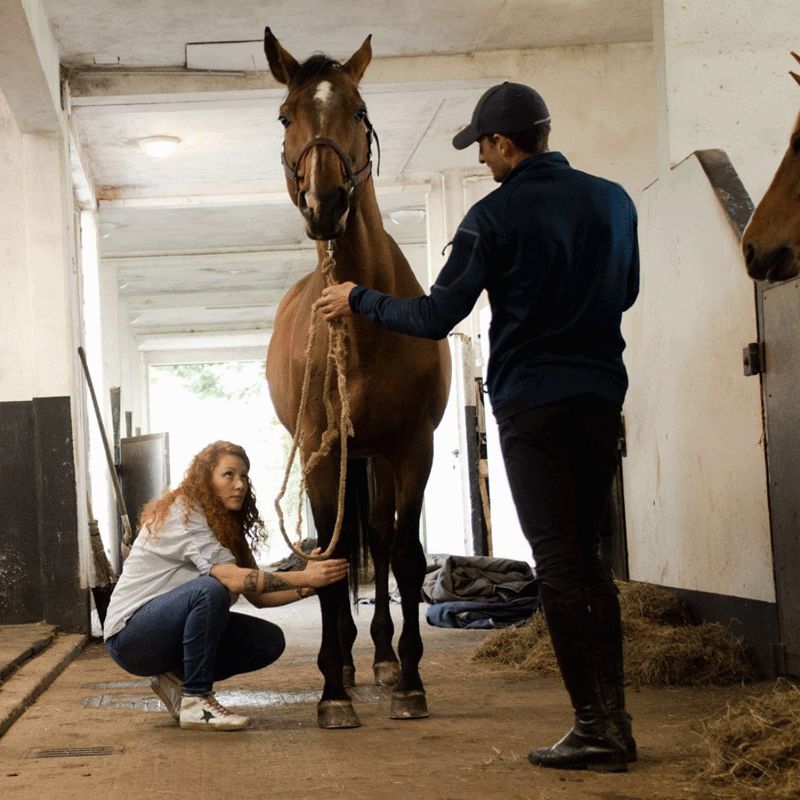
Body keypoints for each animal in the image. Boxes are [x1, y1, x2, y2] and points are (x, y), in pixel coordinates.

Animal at [262, 28, 450, 728]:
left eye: (360, 110)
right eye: (285, 115)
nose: (327, 204)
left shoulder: (412, 449)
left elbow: (406, 556)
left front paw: (410, 681)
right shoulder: (323, 456)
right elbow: (334, 557)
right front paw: (332, 692)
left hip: (375, 458)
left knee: (382, 541)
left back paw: (382, 658)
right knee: (338, 548)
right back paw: (342, 661)